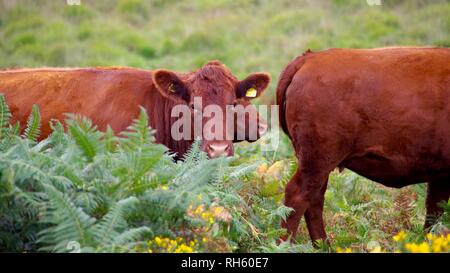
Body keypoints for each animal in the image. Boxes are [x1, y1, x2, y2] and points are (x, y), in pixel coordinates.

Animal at [278, 46, 450, 242]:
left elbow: (434, 212)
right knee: (298, 198)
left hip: (318, 165)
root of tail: (309, 58)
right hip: (317, 162)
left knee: (314, 200)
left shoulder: (440, 176)